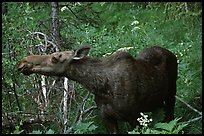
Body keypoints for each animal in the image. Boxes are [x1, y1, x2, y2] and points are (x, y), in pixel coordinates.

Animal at [17, 45, 177, 133]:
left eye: (55, 58)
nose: (23, 62)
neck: (100, 87)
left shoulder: (133, 116)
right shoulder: (107, 117)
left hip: (171, 93)